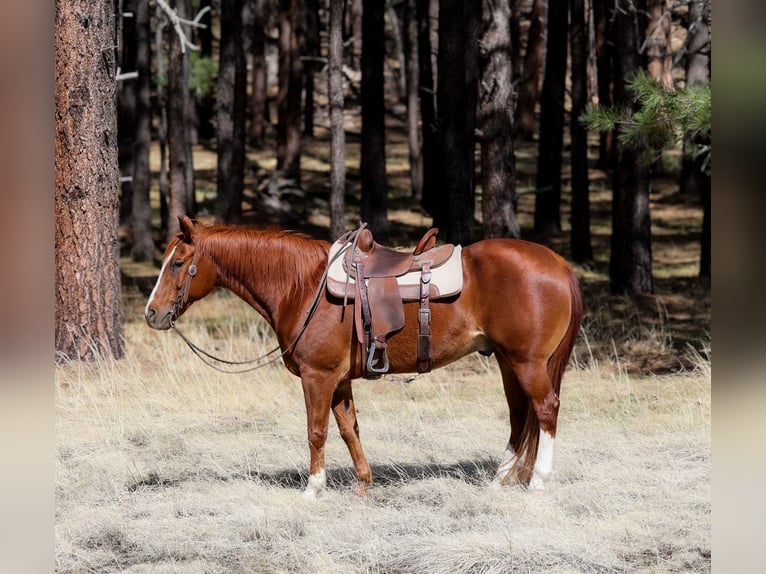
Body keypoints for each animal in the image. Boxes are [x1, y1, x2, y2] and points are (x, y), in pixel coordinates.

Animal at [145, 215, 582, 498]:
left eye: (178, 263)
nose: (151, 313)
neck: (303, 287)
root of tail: (559, 264)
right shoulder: (339, 380)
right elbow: (348, 429)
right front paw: (363, 483)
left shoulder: (318, 376)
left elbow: (316, 431)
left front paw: (313, 489)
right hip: (508, 362)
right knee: (519, 415)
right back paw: (500, 479)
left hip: (527, 363)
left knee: (545, 408)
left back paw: (538, 480)